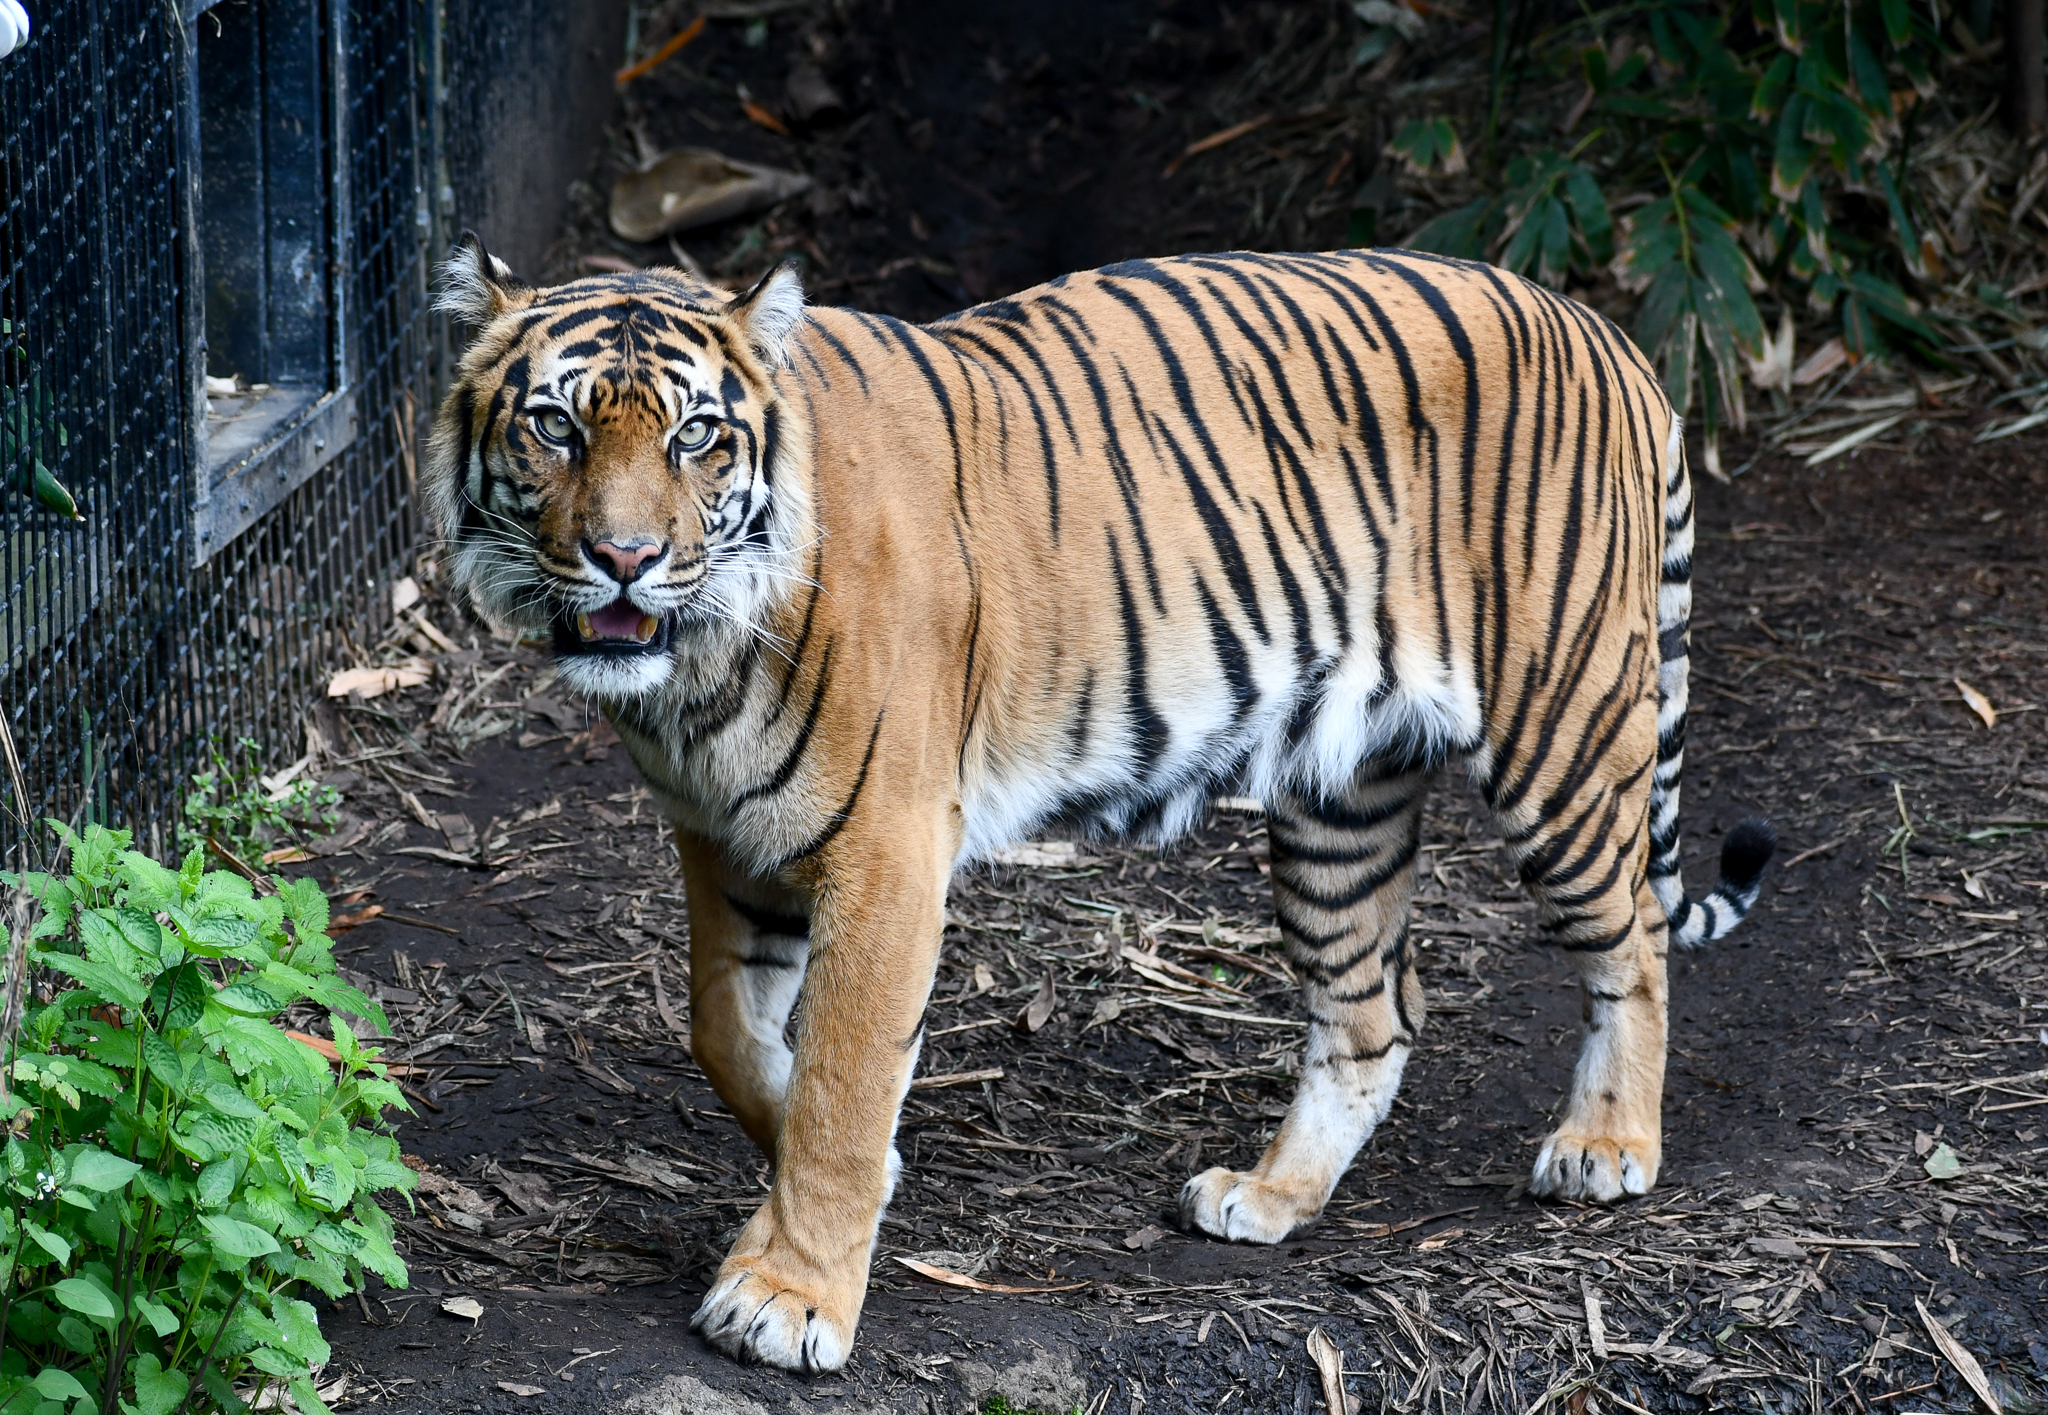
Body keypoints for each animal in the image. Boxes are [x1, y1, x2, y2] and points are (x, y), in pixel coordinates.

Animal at [425, 234, 1774, 1373]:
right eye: (552, 426)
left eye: (698, 436)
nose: (625, 559)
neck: (696, 669)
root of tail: (1608, 337)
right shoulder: (725, 837)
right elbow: (728, 1031)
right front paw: (847, 1177)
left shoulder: (884, 852)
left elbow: (841, 1080)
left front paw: (788, 1294)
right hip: (1338, 797)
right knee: (1373, 1009)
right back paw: (1269, 1196)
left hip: (1562, 733)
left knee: (1631, 944)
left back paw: (1606, 1146)